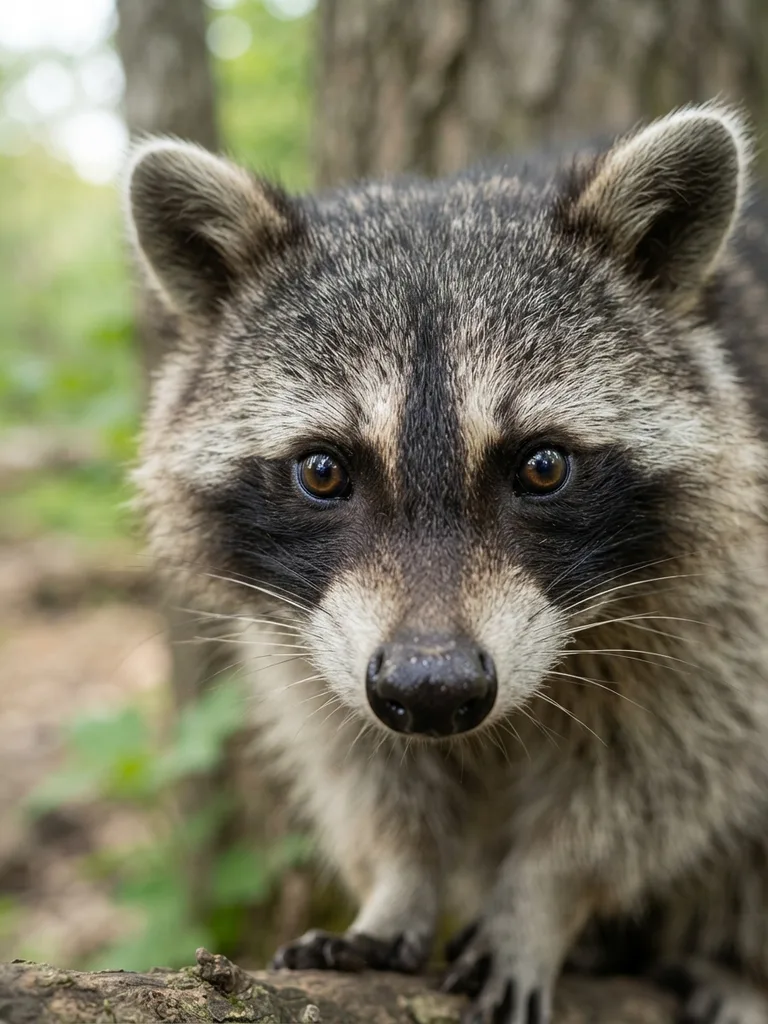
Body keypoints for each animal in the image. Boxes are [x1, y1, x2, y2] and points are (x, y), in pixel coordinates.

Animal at [126, 103, 768, 1024]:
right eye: (324, 472)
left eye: (543, 466)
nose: (432, 691)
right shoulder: (308, 632)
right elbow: (356, 756)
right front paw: (400, 881)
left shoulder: (725, 598)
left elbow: (676, 763)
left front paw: (542, 897)